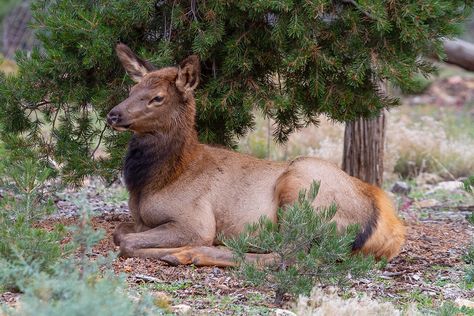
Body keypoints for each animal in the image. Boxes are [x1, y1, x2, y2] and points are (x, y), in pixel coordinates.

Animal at [106, 43, 404, 266]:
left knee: (288, 254)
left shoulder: (196, 221)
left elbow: (126, 242)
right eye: (132, 89)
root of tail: (388, 227)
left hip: (301, 189)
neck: (153, 182)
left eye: (157, 97)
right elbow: (119, 232)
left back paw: (189, 254)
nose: (113, 114)